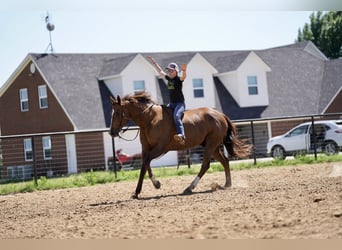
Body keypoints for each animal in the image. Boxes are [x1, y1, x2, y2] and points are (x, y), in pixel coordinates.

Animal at [110, 91, 251, 198]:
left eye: (117, 113)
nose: (112, 132)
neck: (149, 120)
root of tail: (220, 115)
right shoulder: (146, 149)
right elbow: (144, 166)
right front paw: (137, 192)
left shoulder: (160, 148)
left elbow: (146, 162)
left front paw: (156, 183)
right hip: (213, 146)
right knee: (225, 161)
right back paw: (227, 184)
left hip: (211, 145)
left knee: (205, 165)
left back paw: (190, 187)